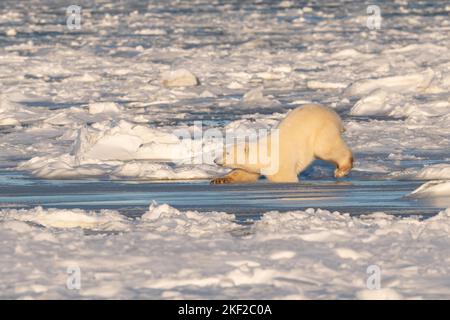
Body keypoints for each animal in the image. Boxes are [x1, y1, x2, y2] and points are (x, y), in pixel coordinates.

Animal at [212, 104, 356, 184]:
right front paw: (219, 179)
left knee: (326, 148)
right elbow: (244, 173)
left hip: (322, 130)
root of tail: (334, 114)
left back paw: (341, 170)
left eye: (227, 153)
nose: (215, 160)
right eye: (224, 150)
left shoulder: (280, 163)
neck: (264, 153)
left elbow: (284, 177)